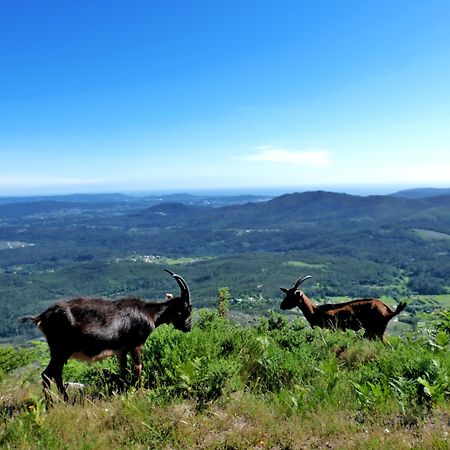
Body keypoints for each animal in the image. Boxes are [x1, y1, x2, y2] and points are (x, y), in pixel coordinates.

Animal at [20, 268, 192, 402]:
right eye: (186, 309)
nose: (188, 327)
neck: (149, 313)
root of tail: (41, 317)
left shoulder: (122, 349)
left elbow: (123, 370)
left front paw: (124, 390)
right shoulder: (136, 344)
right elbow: (138, 368)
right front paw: (139, 391)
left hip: (60, 352)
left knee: (56, 374)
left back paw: (65, 400)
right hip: (61, 350)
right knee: (47, 375)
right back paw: (54, 404)